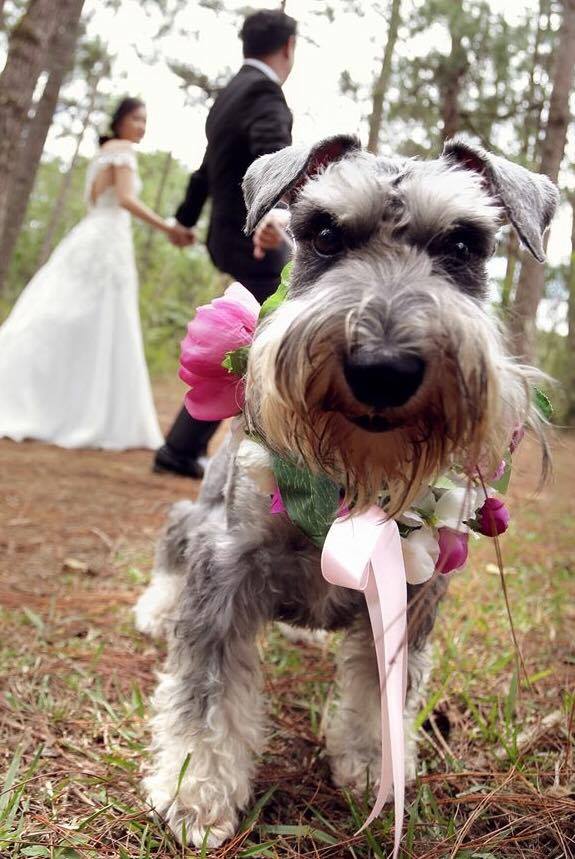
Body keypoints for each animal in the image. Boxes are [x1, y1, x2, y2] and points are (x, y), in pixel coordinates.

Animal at [135, 138, 560, 848]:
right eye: (325, 234)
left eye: (464, 244)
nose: (382, 368)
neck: (353, 479)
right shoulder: (226, 567)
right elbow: (207, 691)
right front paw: (196, 790)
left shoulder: (411, 597)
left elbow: (380, 693)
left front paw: (371, 765)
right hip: (199, 517)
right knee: (172, 531)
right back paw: (156, 607)